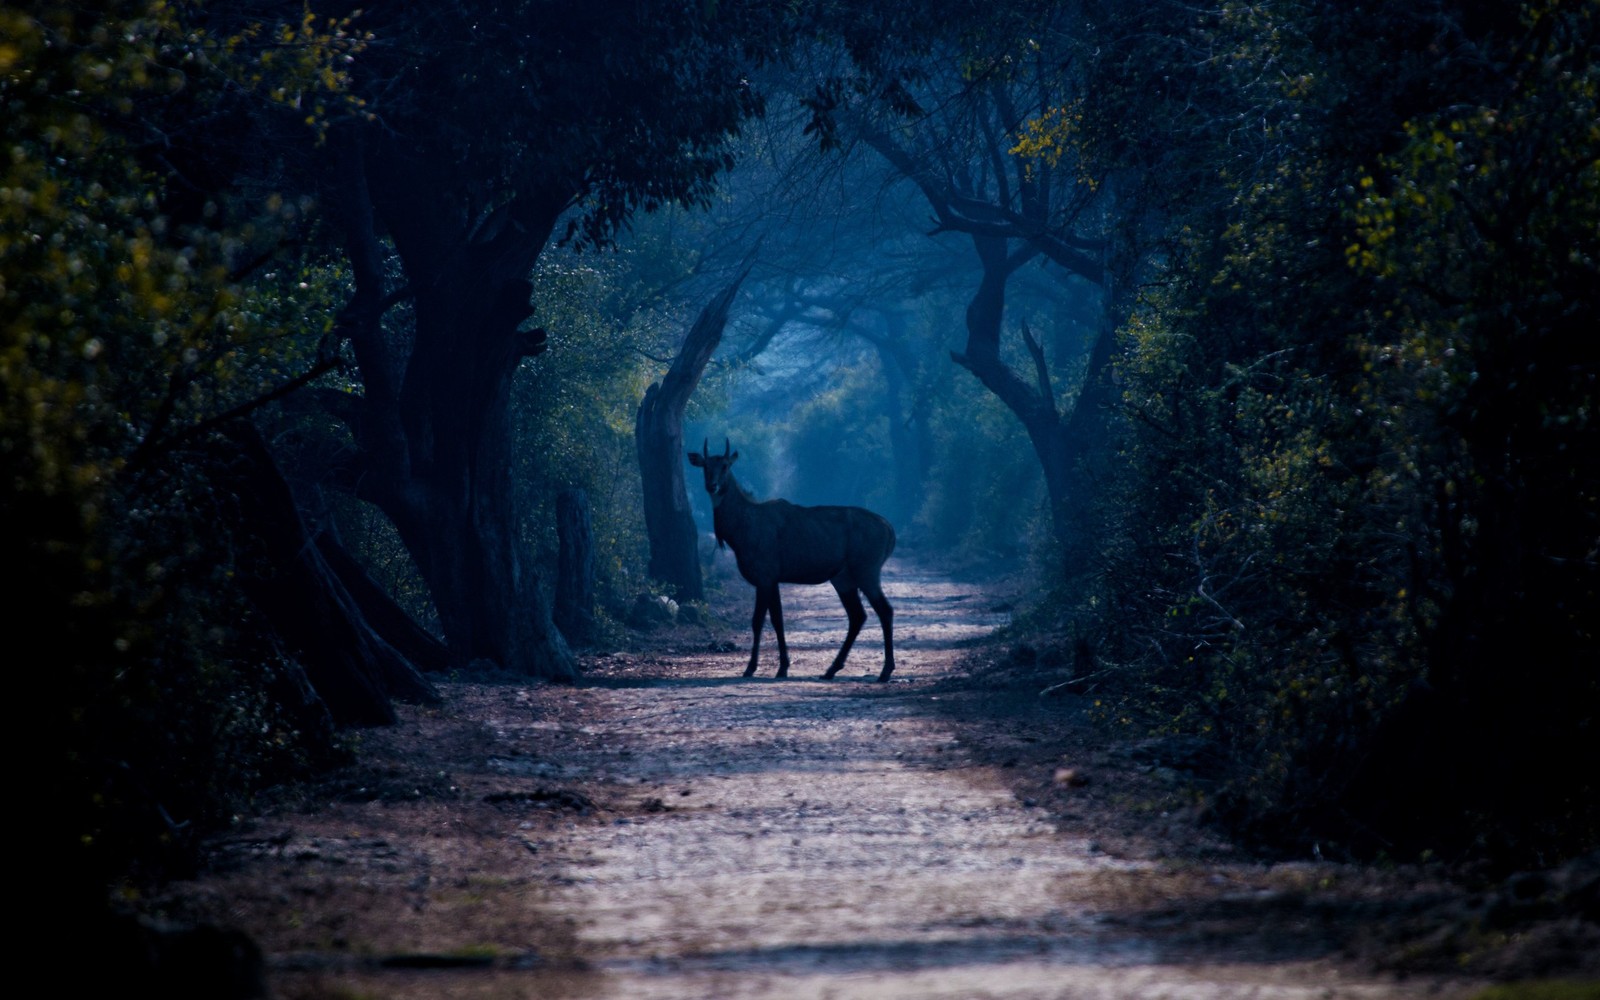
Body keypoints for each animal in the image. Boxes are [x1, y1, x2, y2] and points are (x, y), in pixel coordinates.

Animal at [691, 435, 902, 678]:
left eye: (725, 466)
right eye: (706, 466)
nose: (712, 485)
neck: (741, 529)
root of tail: (890, 530)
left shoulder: (764, 576)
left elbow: (758, 620)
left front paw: (750, 668)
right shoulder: (772, 580)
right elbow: (777, 620)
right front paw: (783, 667)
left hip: (867, 571)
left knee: (884, 610)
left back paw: (885, 671)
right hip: (843, 577)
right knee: (858, 615)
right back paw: (831, 669)